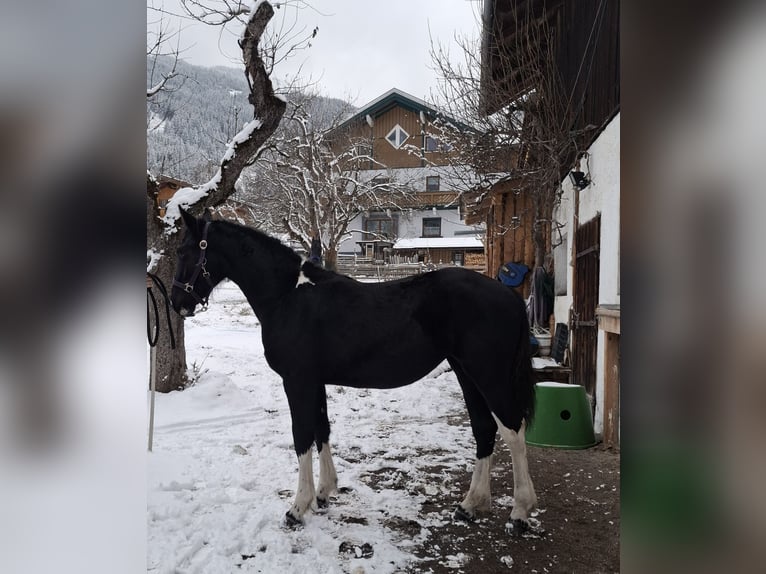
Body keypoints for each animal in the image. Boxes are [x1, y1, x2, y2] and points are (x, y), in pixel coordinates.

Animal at [170, 210, 536, 532]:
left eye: (185, 251)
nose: (177, 302)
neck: (288, 297)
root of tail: (508, 295)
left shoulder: (297, 381)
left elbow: (302, 435)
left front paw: (297, 508)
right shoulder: (315, 382)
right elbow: (322, 429)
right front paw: (324, 493)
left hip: (489, 375)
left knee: (513, 431)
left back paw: (519, 512)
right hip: (466, 373)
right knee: (484, 429)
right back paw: (470, 505)